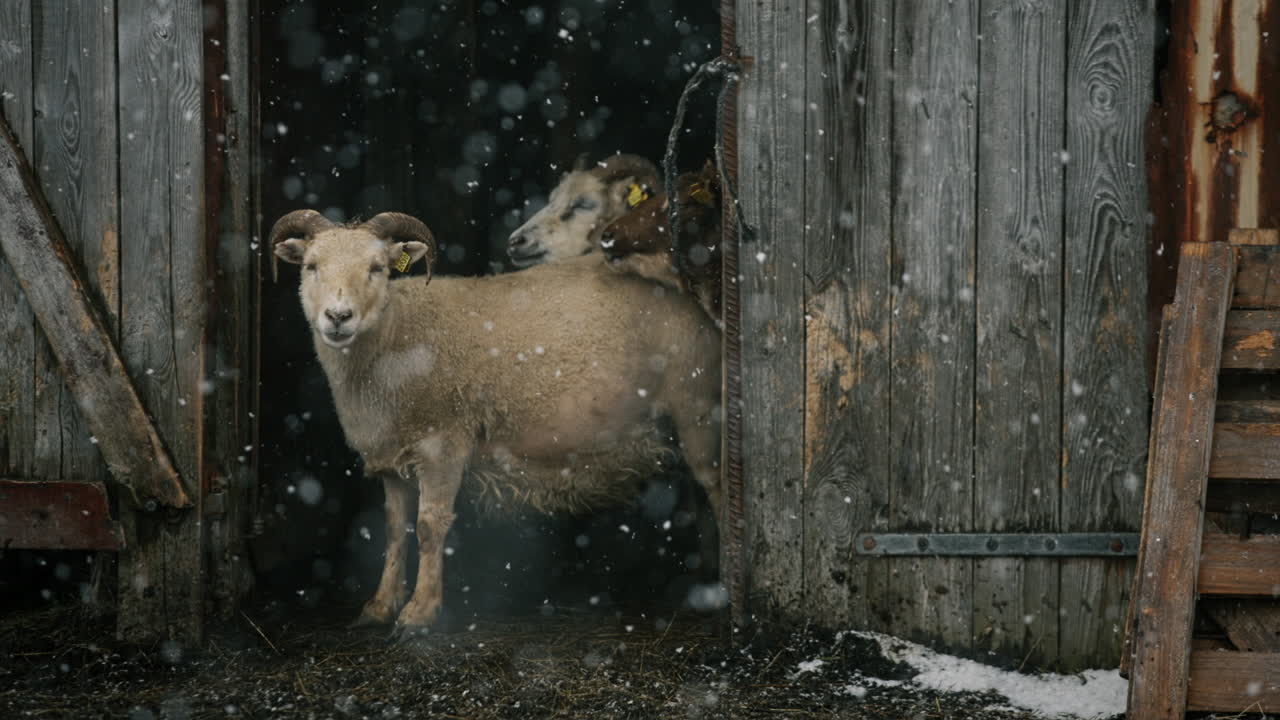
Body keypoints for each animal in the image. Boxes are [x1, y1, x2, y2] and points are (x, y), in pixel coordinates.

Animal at [271, 209, 723, 633]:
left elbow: (430, 526)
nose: (338, 316)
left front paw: (420, 615)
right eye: (310, 266)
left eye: (377, 268)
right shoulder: (393, 458)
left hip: (696, 404)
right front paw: (380, 607)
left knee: (715, 486)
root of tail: (686, 289)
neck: (397, 338)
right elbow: (395, 529)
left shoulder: (444, 442)